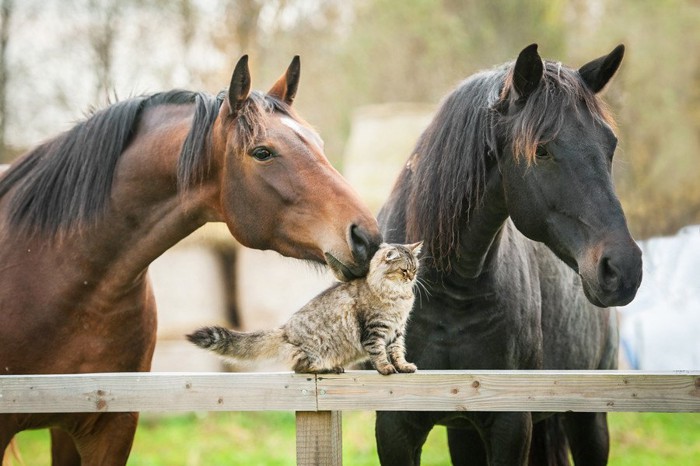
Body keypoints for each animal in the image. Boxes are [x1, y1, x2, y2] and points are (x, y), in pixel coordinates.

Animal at [187, 242, 422, 374]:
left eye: (415, 269)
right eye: (403, 271)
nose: (412, 278)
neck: (399, 296)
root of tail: (284, 330)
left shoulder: (397, 331)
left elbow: (398, 352)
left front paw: (404, 367)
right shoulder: (374, 331)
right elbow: (380, 354)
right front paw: (386, 369)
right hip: (312, 351)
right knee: (298, 367)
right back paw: (329, 368)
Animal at [374, 44, 644, 466]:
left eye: (610, 145)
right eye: (542, 149)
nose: (623, 268)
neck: (450, 291)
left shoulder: (510, 423)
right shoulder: (395, 426)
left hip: (589, 423)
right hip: (464, 431)